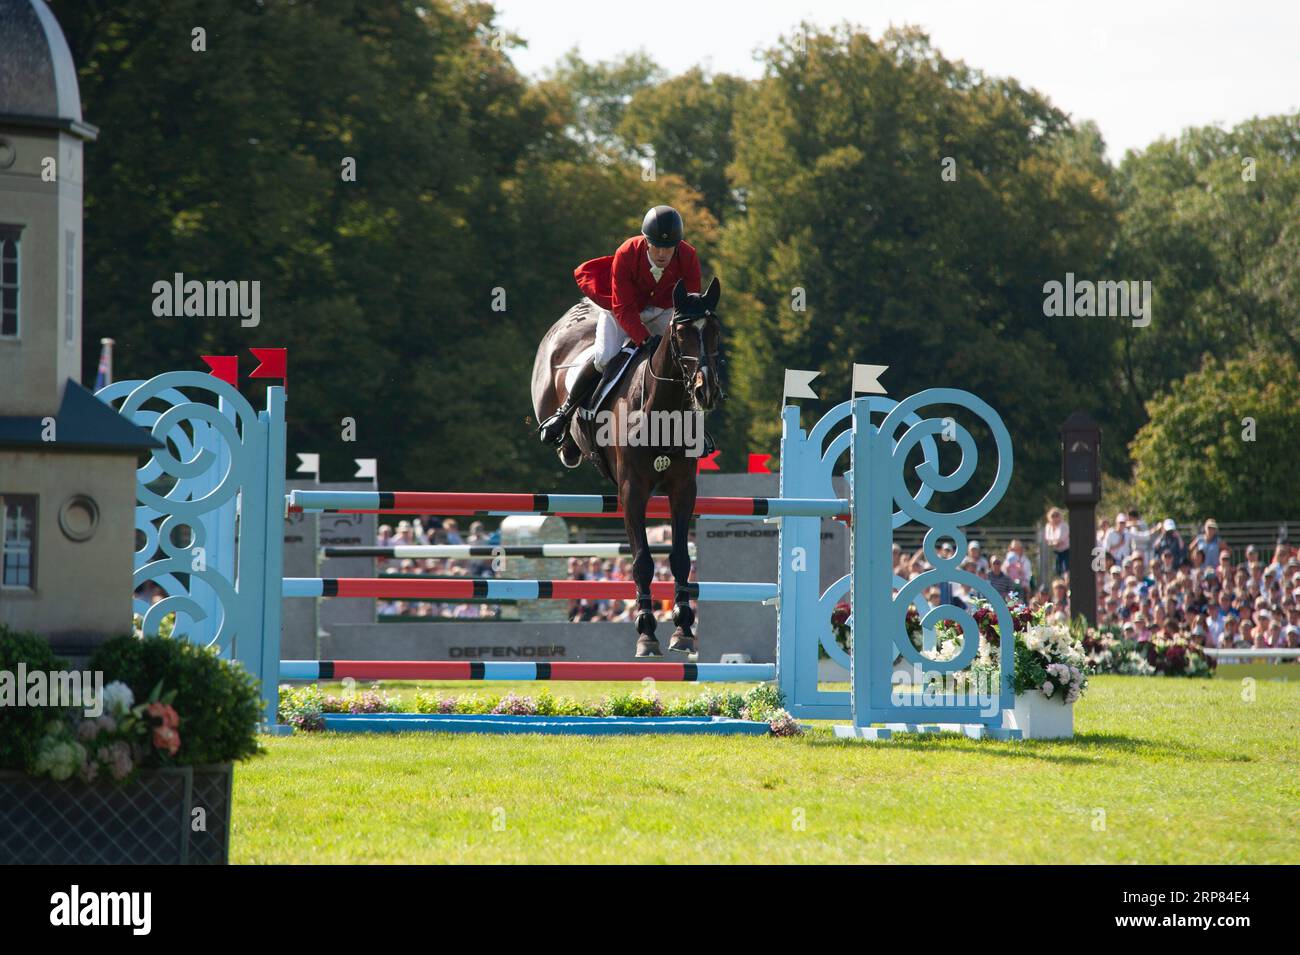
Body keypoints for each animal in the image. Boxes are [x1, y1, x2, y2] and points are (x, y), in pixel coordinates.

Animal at [533, 276, 728, 657]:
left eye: (715, 331)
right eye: (681, 332)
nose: (706, 391)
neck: (661, 408)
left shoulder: (683, 490)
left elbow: (680, 558)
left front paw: (683, 629)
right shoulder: (633, 491)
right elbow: (642, 562)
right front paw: (646, 633)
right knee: (584, 379)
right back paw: (562, 437)